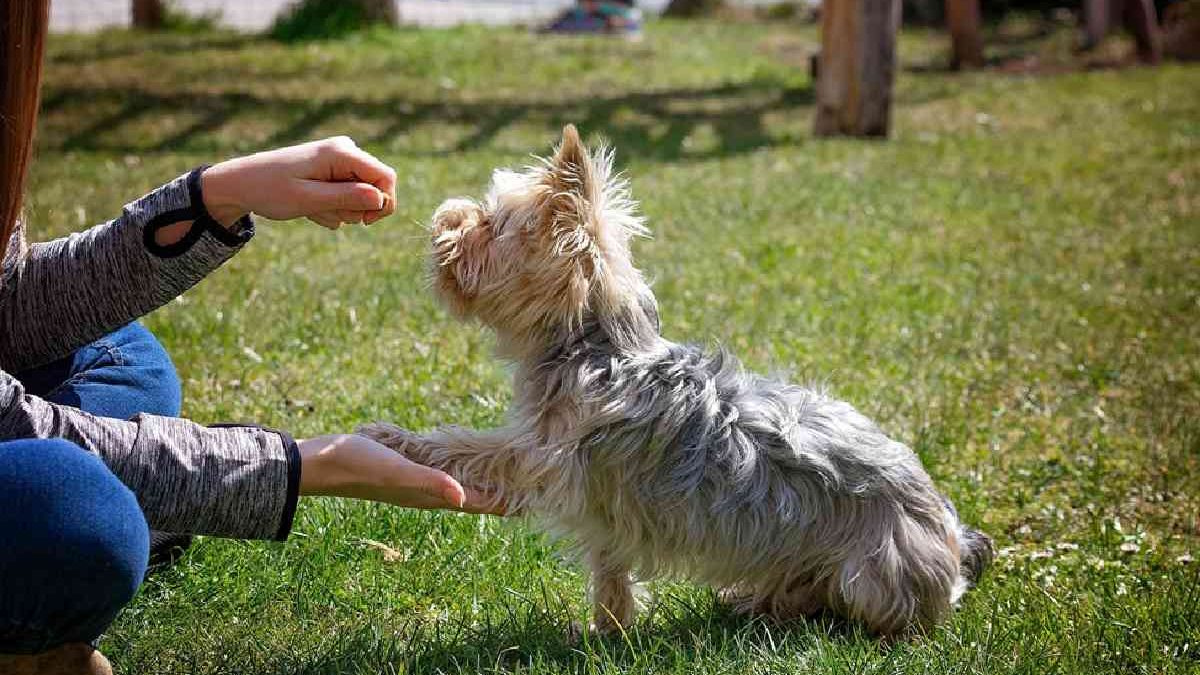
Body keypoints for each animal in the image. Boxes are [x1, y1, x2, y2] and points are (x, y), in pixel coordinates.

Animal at [357, 126, 993, 634]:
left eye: (490, 225)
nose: (445, 216)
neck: (595, 346)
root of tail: (953, 534)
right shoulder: (601, 506)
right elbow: (610, 570)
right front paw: (607, 632)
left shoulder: (543, 458)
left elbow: (467, 446)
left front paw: (391, 439)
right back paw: (755, 602)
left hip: (872, 573)